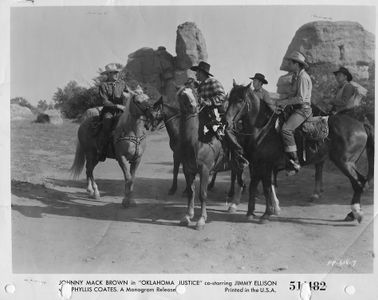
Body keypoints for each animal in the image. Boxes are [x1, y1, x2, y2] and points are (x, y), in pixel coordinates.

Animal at [226, 81, 374, 224]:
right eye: (229, 98)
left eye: (240, 100)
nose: (226, 121)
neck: (263, 130)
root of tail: (361, 125)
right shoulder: (256, 164)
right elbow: (254, 185)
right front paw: (251, 213)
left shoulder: (266, 165)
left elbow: (267, 187)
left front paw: (266, 214)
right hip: (349, 163)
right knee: (361, 182)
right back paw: (352, 214)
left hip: (344, 162)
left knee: (358, 183)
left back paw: (356, 213)